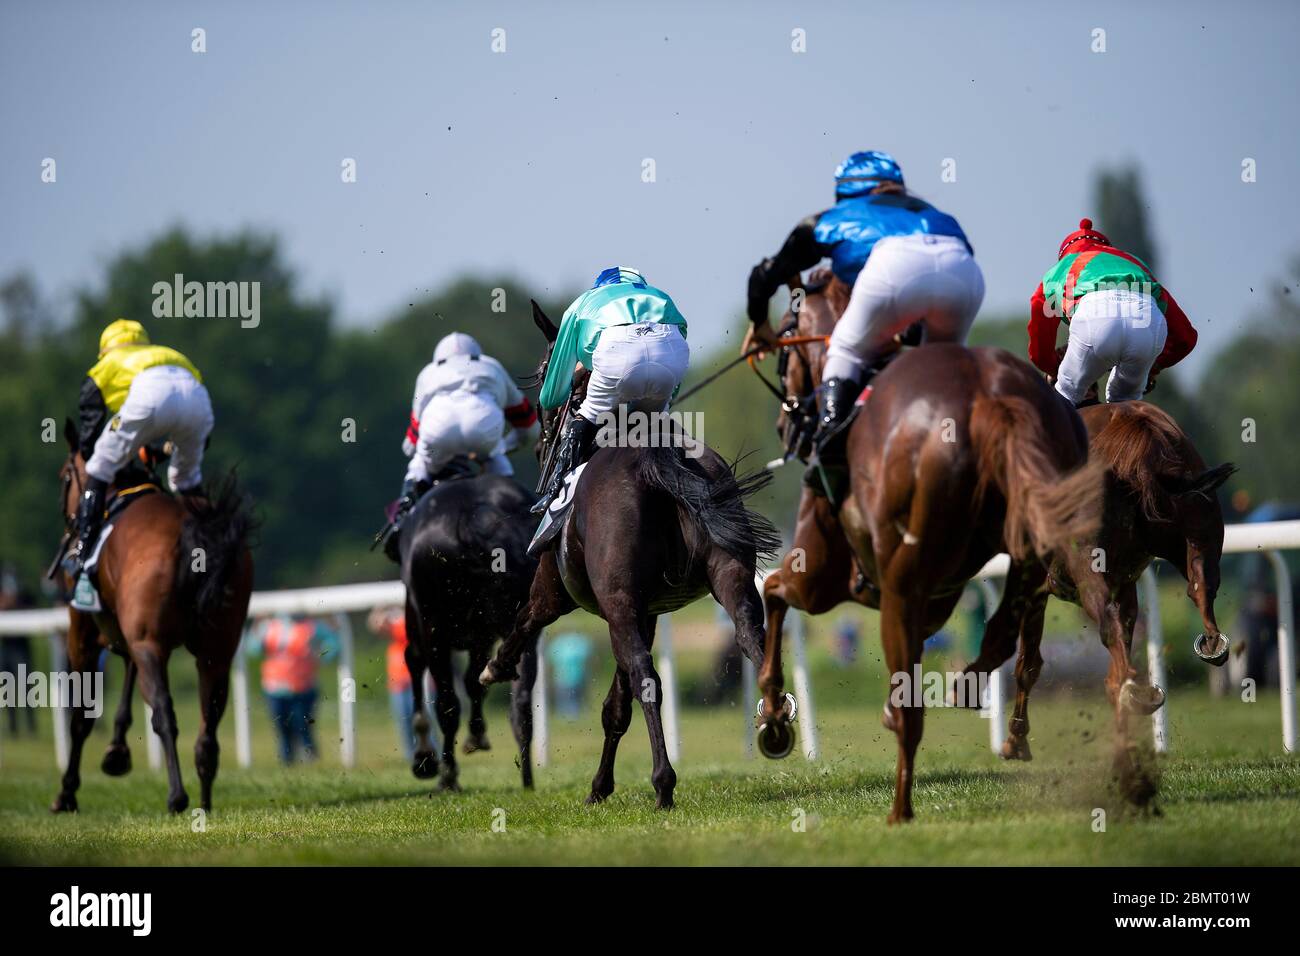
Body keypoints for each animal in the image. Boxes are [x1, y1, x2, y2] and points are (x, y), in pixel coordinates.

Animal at [51, 418, 253, 816]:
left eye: (66, 475)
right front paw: (116, 752)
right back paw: (204, 800)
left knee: (164, 712)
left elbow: (81, 716)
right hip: (218, 649)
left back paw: (177, 796)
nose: (69, 527)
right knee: (210, 719)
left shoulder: (84, 629)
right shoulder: (130, 632)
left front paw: (67, 793)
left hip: (150, 643)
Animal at [395, 468, 538, 790]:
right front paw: (476, 735)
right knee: (522, 699)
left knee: (446, 703)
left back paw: (446, 774)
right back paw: (526, 776)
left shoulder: (421, 621)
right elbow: (475, 681)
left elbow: (415, 662)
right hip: (522, 623)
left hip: (432, 626)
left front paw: (425, 759)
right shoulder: (483, 636)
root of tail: (477, 516)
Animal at [759, 274, 1118, 822]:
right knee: (1009, 631)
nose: (786, 425)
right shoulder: (936, 597)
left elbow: (774, 593)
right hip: (1032, 544)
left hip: (898, 577)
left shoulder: (820, 573)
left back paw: (900, 809)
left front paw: (774, 718)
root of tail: (991, 397)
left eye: (785, 337)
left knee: (917, 707)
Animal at [977, 400, 1237, 775]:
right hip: (1198, 524)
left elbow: (1028, 664)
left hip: (1090, 564)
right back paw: (1210, 644)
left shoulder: (1035, 584)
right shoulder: (1125, 582)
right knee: (1201, 585)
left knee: (1109, 629)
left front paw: (1015, 741)